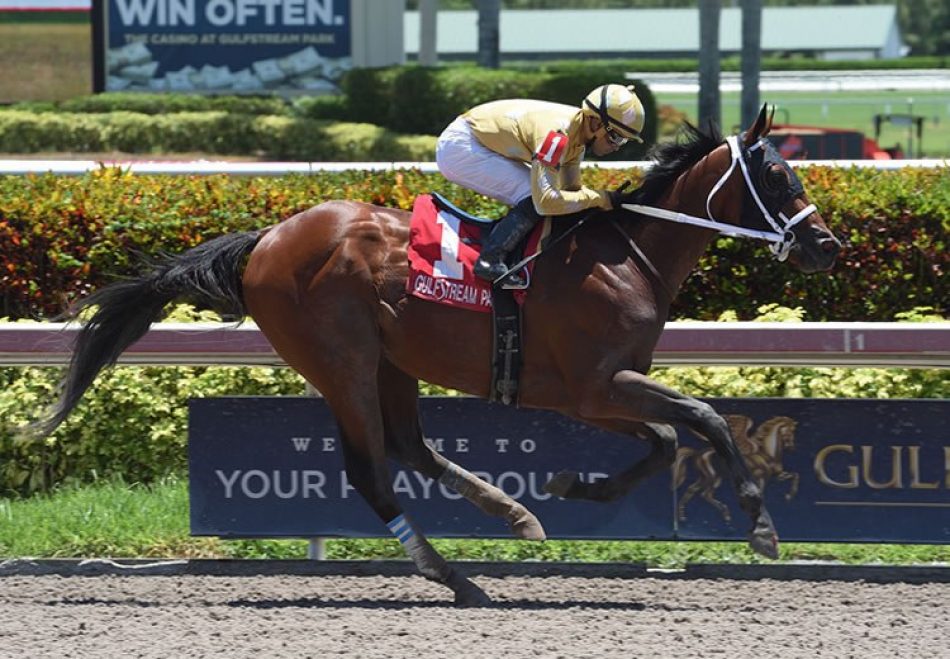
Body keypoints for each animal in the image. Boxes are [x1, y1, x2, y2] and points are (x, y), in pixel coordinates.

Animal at [35, 105, 840, 604]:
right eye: (779, 176)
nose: (827, 246)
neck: (625, 255)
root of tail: (266, 239)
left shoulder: (599, 390)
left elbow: (668, 437)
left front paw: (571, 485)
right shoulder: (595, 383)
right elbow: (701, 418)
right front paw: (761, 527)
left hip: (392, 362)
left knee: (410, 448)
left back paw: (514, 515)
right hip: (341, 360)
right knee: (371, 468)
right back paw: (453, 574)